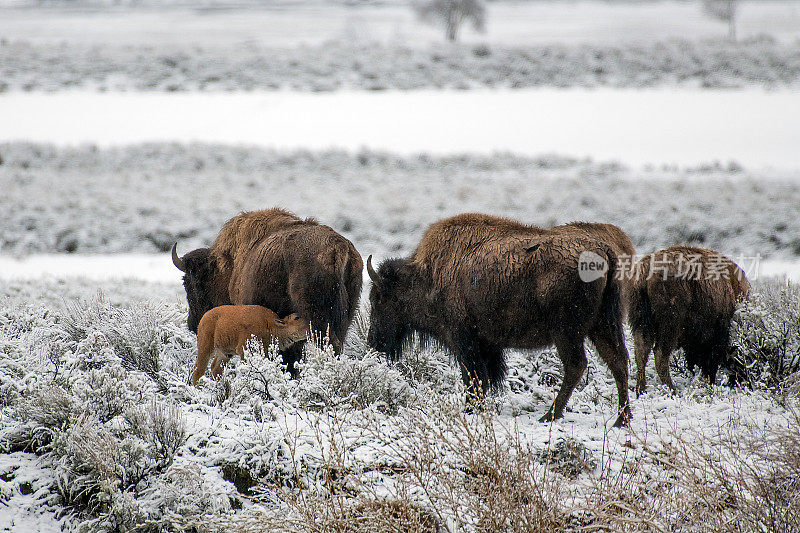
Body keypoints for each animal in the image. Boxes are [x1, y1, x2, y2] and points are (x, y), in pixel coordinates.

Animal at [175, 208, 366, 370]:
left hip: (318, 321)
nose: (193, 324)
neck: (229, 267)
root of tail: (338, 249)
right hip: (344, 319)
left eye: (189, 283)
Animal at [368, 214, 632, 426]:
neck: (428, 277)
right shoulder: (487, 345)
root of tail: (604, 251)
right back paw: (622, 419)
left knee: (577, 365)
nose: (374, 343)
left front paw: (470, 410)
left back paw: (550, 416)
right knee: (618, 361)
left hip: (568, 332)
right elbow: (485, 379)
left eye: (377, 299)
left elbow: (473, 378)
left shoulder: (465, 342)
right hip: (603, 325)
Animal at [632, 243, 752, 392]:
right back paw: (672, 390)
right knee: (660, 354)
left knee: (641, 352)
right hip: (670, 327)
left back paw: (640, 390)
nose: (742, 380)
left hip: (641, 324)